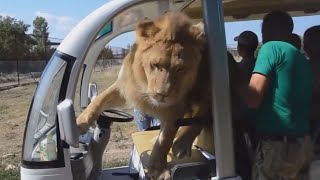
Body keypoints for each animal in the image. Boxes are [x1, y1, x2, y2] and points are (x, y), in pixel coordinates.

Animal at [76, 11, 214, 179]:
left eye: (180, 69)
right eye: (154, 65)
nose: (162, 94)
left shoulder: (175, 108)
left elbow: (165, 139)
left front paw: (157, 169)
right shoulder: (126, 87)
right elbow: (100, 99)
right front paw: (80, 122)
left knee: (202, 116)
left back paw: (181, 145)